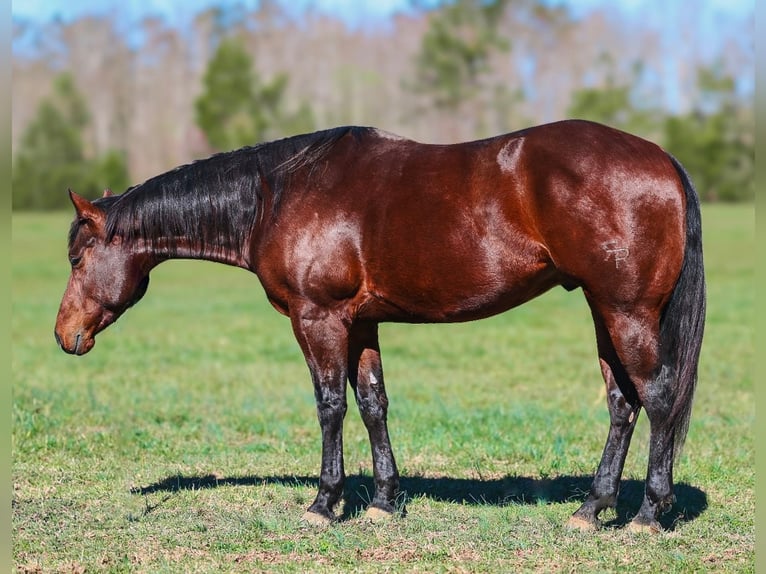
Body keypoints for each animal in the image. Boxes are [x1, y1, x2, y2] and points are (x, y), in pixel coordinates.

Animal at [55, 120, 705, 532]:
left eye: (78, 258)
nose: (65, 335)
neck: (278, 195)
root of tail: (664, 160)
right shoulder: (360, 323)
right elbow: (373, 403)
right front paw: (385, 502)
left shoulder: (317, 317)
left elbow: (329, 406)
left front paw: (324, 503)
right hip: (603, 310)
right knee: (623, 403)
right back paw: (591, 510)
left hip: (627, 312)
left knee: (659, 397)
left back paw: (648, 514)